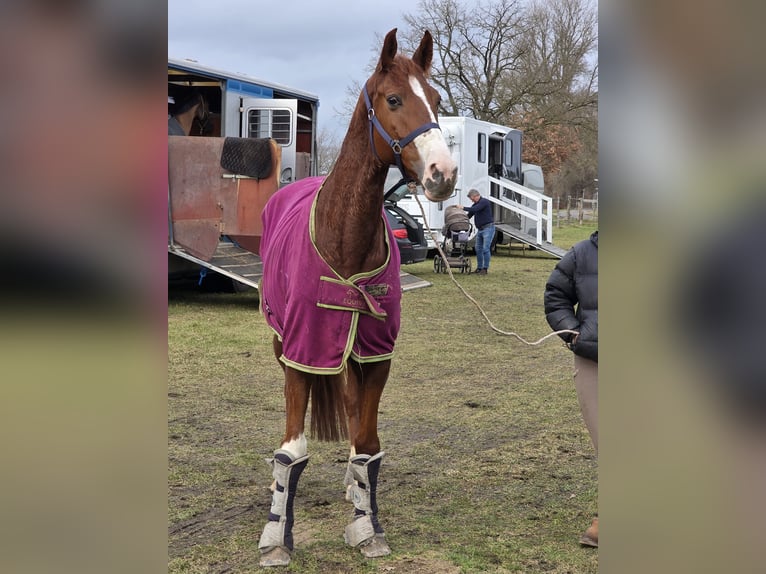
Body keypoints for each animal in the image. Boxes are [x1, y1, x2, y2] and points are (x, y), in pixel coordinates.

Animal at [256, 28, 458, 567]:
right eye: (394, 99)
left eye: (436, 100)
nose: (443, 173)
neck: (344, 236)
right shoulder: (304, 351)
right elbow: (291, 451)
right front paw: (275, 538)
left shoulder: (377, 353)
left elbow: (368, 442)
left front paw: (367, 524)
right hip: (283, 343)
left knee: (350, 412)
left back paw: (352, 486)